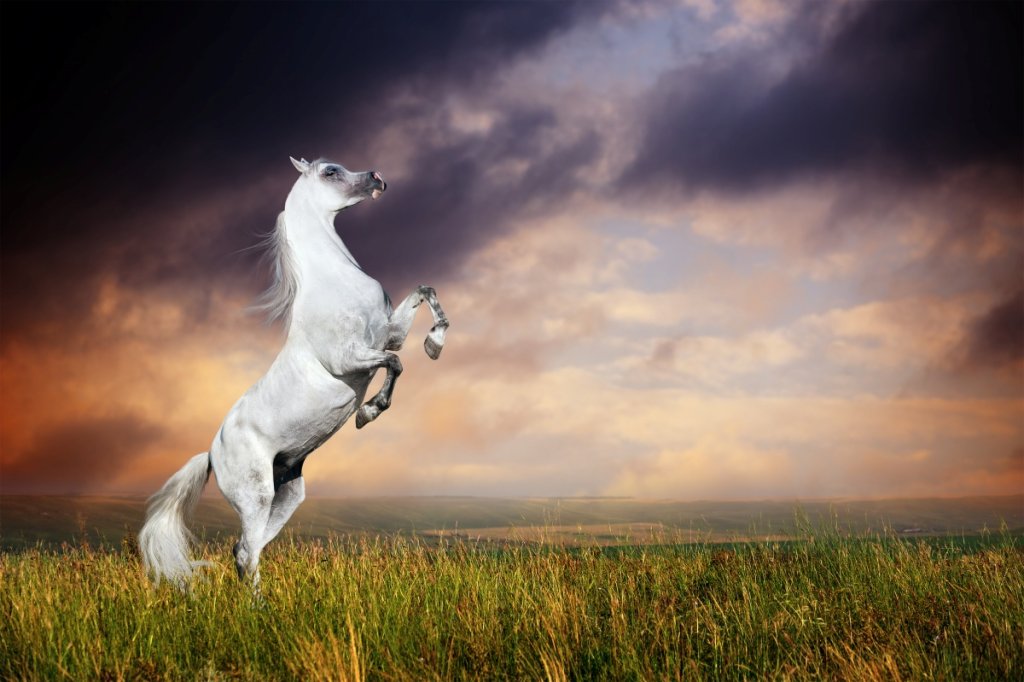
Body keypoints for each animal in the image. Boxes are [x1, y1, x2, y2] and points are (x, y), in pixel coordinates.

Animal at [138, 156, 449, 588]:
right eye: (330, 171)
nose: (377, 178)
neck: (335, 281)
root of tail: (213, 454)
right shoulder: (349, 358)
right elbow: (395, 364)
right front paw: (368, 413)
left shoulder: (389, 334)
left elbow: (424, 292)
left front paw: (435, 344)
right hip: (256, 497)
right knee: (247, 552)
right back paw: (261, 604)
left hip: (287, 495)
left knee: (243, 550)